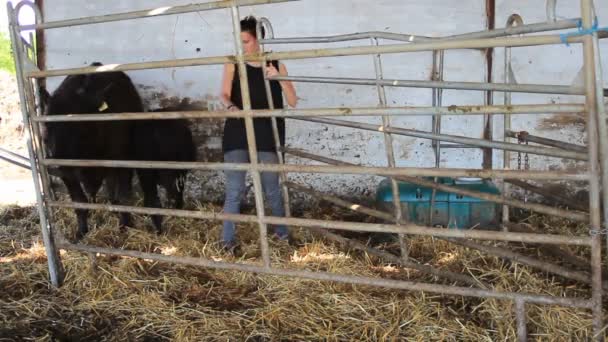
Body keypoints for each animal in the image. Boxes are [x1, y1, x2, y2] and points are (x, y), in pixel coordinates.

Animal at [41, 62, 144, 238]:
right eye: (47, 126)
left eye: (76, 126)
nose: (53, 165)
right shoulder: (68, 174)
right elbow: (79, 202)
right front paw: (81, 231)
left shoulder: (124, 159)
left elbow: (123, 196)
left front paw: (125, 226)